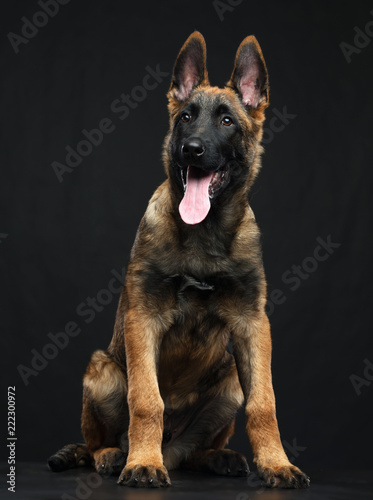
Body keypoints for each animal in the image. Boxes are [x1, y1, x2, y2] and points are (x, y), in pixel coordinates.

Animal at [48, 30, 310, 488]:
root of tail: (171, 449)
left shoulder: (252, 325)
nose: (192, 149)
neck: (203, 235)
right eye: (185, 117)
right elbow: (145, 400)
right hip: (101, 370)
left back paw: (216, 457)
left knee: (192, 453)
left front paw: (276, 464)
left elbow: (264, 403)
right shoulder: (142, 320)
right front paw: (141, 462)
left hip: (229, 380)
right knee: (101, 440)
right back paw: (117, 455)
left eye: (227, 122)